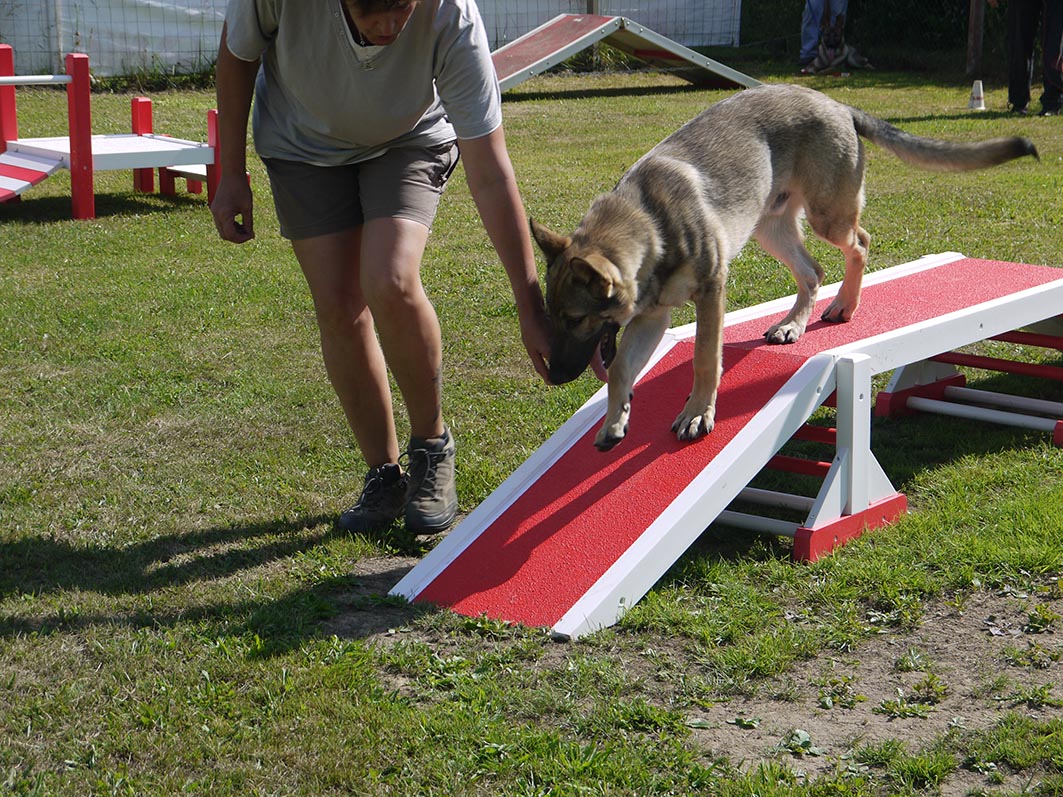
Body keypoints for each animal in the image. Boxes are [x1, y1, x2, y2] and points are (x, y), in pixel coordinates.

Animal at [531, 86, 1037, 454]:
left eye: (575, 319)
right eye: (552, 318)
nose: (557, 376)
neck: (648, 222)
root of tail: (837, 104)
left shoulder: (710, 294)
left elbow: (704, 360)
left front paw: (698, 413)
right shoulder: (651, 316)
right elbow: (620, 370)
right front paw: (615, 422)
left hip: (826, 217)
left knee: (860, 244)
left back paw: (846, 305)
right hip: (771, 229)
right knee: (813, 271)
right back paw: (794, 325)